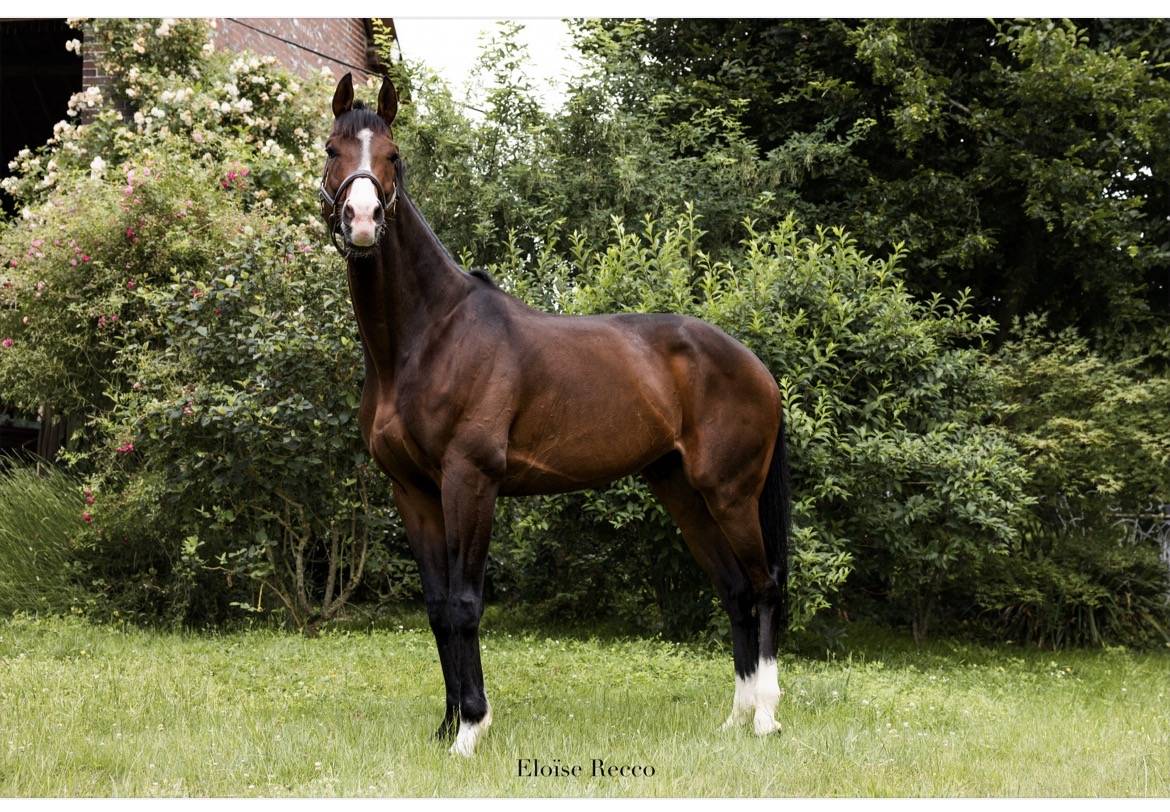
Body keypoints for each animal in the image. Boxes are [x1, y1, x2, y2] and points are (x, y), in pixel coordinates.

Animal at [318, 73, 791, 757]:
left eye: (393, 156)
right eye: (333, 150)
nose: (362, 220)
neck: (429, 337)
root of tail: (756, 365)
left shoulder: (470, 481)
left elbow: (464, 604)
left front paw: (471, 729)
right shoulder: (413, 491)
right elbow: (436, 608)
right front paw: (446, 726)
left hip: (730, 493)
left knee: (763, 585)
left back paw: (765, 718)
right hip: (681, 490)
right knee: (733, 591)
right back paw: (736, 717)